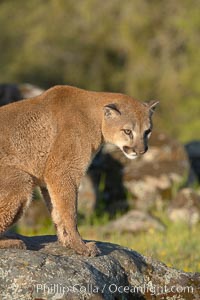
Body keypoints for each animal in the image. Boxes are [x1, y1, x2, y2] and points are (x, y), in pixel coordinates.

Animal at [0, 84, 159, 255]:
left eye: (147, 131)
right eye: (127, 131)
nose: (141, 150)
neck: (96, 118)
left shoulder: (49, 179)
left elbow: (57, 212)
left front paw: (68, 242)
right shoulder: (63, 171)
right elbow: (70, 212)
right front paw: (80, 246)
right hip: (21, 181)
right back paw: (12, 242)